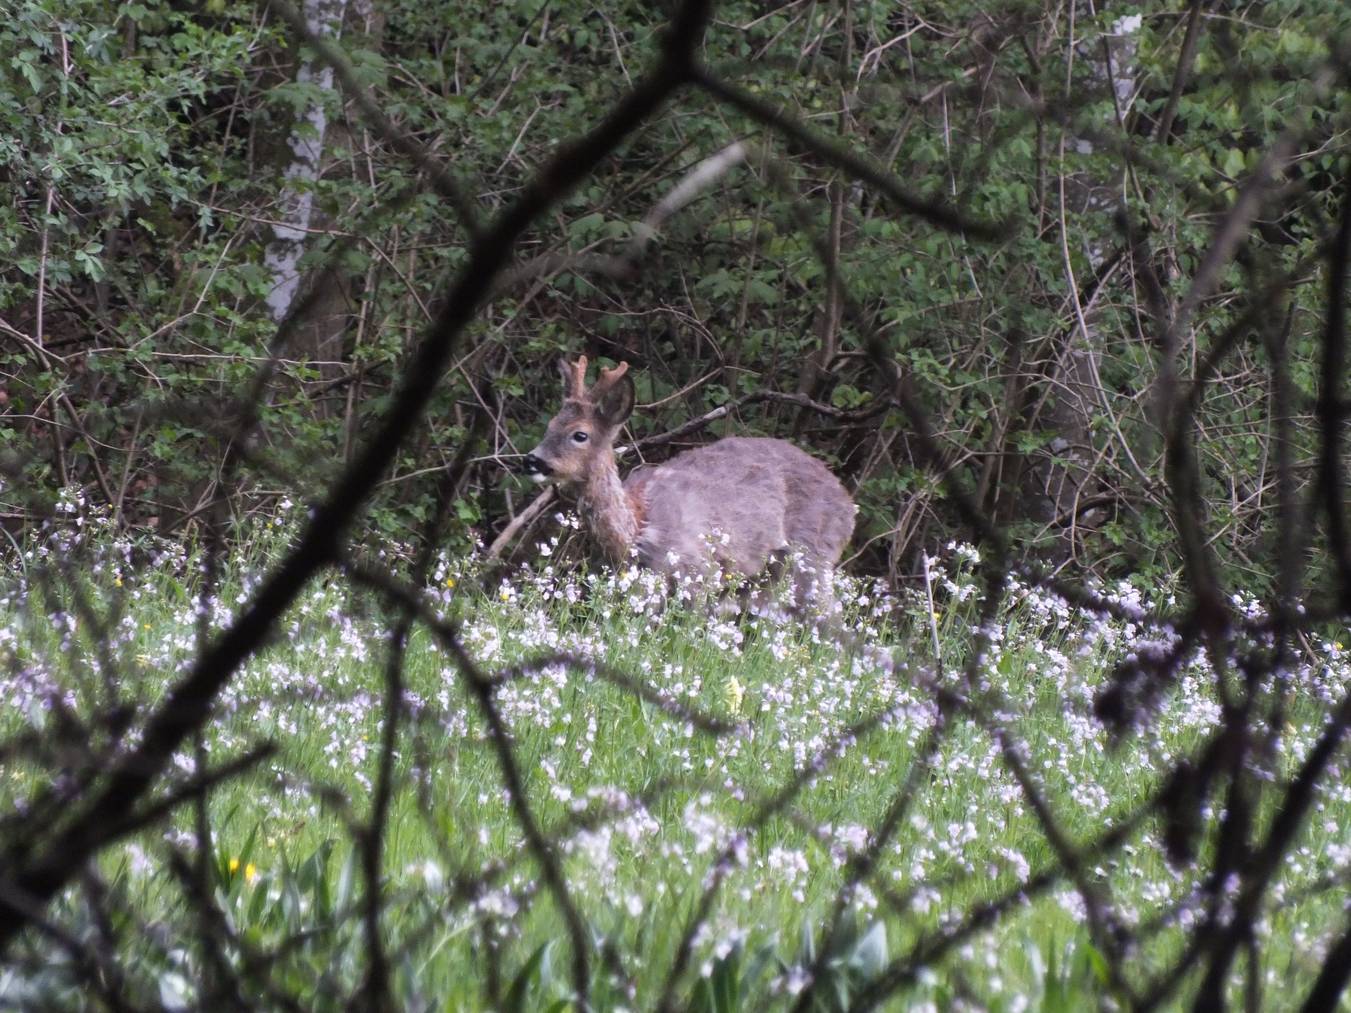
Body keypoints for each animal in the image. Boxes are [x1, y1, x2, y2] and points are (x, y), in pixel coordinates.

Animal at [524, 359, 853, 610]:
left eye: (580, 434)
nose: (532, 460)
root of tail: (849, 504)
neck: (639, 526)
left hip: (812, 556)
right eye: (550, 425)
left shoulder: (698, 571)